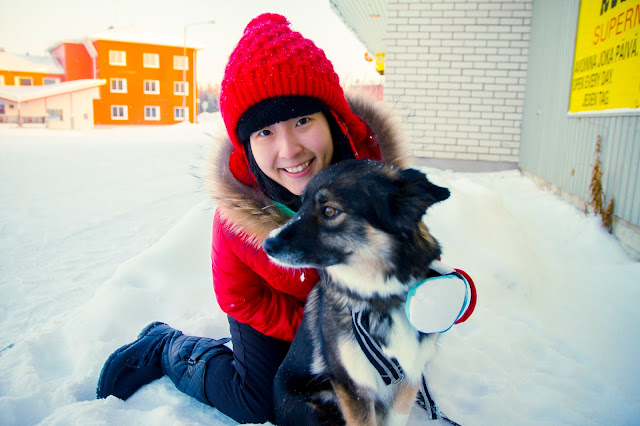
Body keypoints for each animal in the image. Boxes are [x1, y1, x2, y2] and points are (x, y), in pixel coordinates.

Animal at [263, 159, 451, 426]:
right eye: (302, 205)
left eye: (329, 211)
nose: (267, 244)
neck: (382, 301)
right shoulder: (353, 388)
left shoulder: (411, 376)